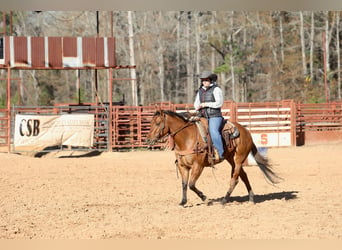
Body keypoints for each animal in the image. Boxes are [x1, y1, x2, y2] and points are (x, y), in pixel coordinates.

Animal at [146, 108, 282, 206]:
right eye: (151, 122)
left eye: (158, 123)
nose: (148, 140)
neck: (187, 138)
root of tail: (246, 132)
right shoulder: (182, 166)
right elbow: (184, 184)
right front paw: (183, 202)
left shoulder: (198, 166)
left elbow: (191, 184)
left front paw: (205, 198)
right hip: (231, 159)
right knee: (244, 176)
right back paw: (251, 198)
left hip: (239, 158)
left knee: (235, 179)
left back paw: (224, 200)